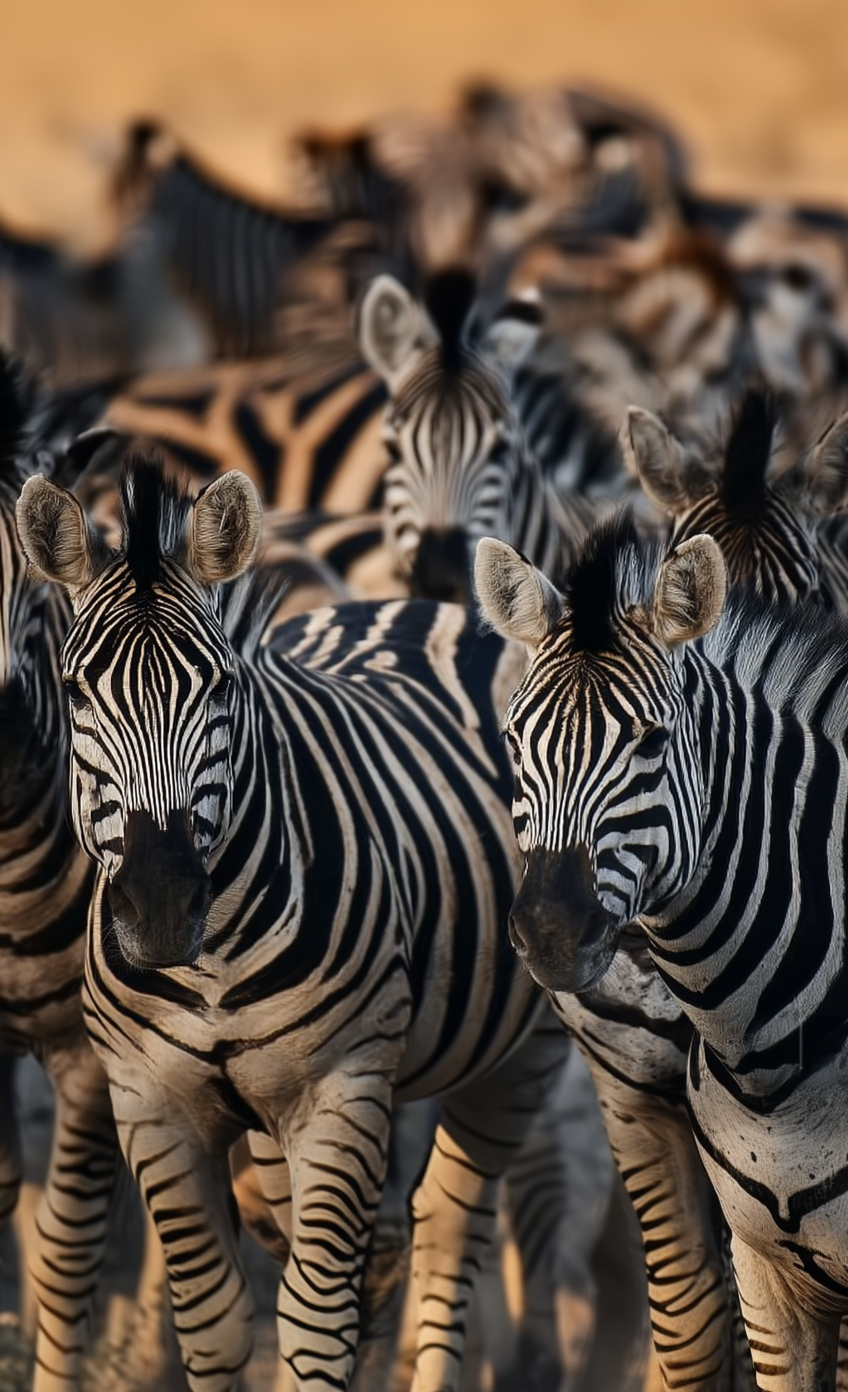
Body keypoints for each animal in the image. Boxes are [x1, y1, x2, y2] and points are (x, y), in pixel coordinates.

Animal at [15, 452, 581, 1392]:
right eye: (75, 691)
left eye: (219, 687)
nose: (162, 905)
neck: (208, 966)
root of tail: (428, 605)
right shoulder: (149, 1102)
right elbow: (214, 1325)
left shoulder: (339, 1090)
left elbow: (315, 1320)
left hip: (520, 1052)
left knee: (448, 1226)